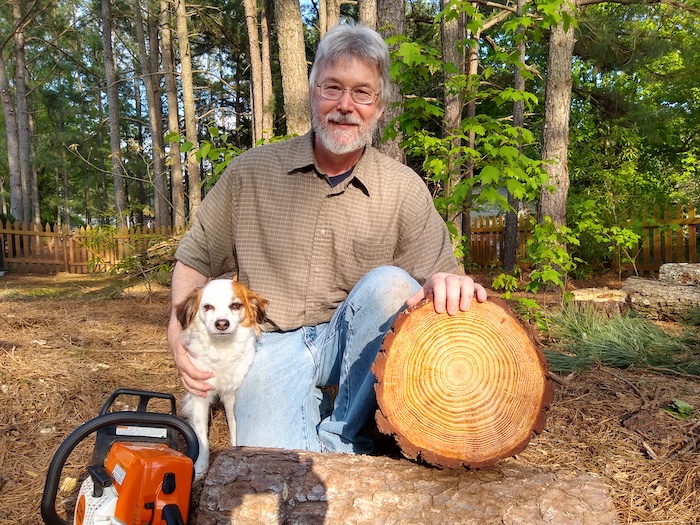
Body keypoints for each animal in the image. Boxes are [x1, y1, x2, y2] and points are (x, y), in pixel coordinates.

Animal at [175, 278, 268, 478]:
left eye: (236, 305)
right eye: (208, 306)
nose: (222, 323)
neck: (221, 348)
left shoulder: (232, 394)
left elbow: (235, 426)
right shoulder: (199, 394)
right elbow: (202, 437)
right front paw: (200, 468)